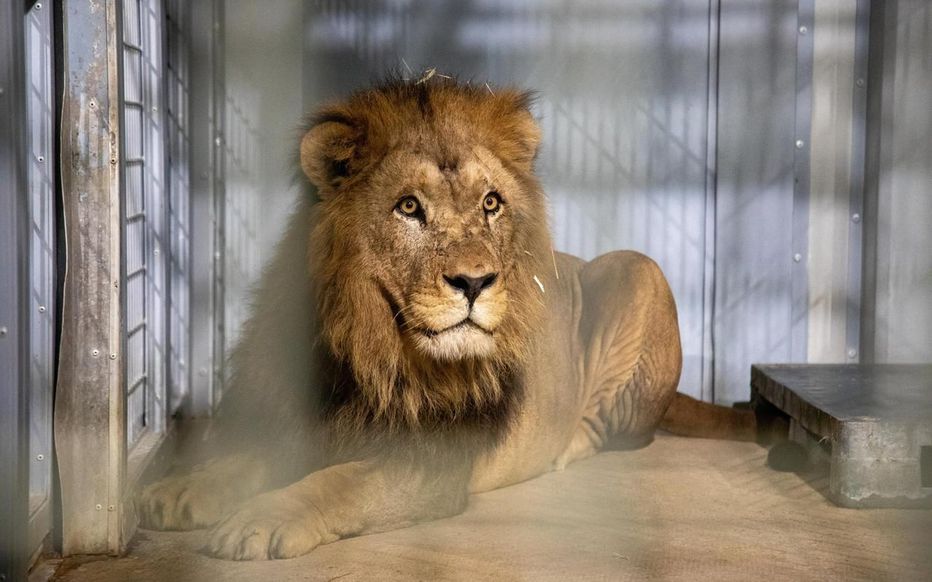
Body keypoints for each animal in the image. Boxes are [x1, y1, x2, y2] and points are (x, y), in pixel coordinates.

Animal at [137, 77, 758, 560]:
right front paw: (181, 490)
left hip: (640, 268)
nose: (475, 282)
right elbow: (249, 458)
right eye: (409, 206)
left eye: (491, 203)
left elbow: (341, 483)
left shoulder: (431, 463)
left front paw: (261, 517)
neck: (371, 350)